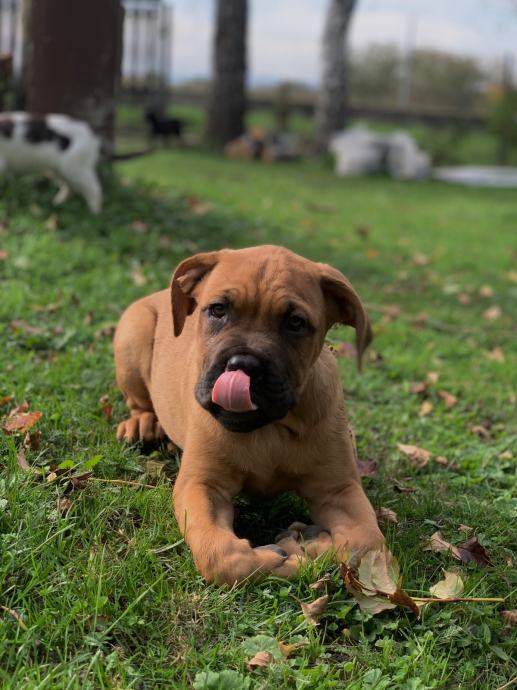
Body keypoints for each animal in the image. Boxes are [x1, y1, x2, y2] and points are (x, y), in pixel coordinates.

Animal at [114, 245, 382, 584]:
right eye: (217, 310)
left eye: (295, 323)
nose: (244, 364)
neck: (268, 429)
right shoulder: (201, 484)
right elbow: (222, 556)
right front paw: (281, 558)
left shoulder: (338, 488)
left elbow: (366, 542)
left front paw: (308, 545)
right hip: (133, 333)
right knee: (140, 401)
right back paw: (142, 423)